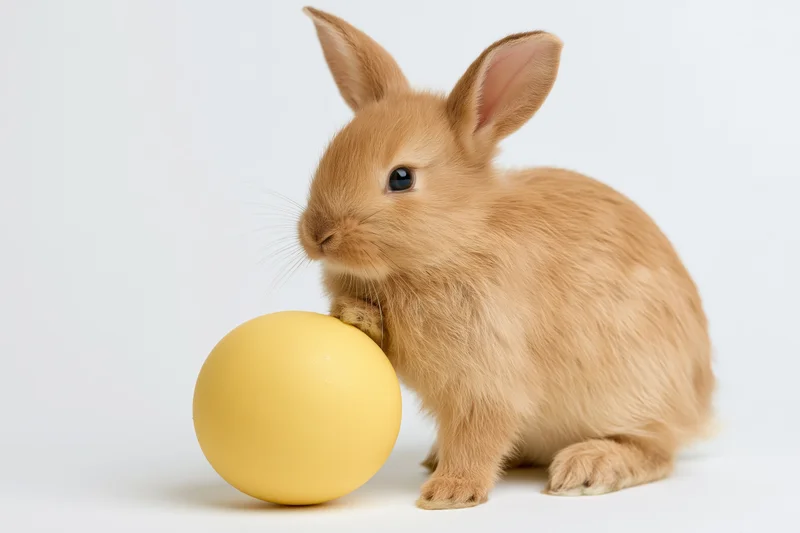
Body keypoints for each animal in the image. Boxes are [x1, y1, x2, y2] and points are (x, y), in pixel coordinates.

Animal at [296, 6, 715, 510]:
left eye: (401, 178)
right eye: (329, 154)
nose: (317, 235)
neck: (457, 242)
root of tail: (700, 402)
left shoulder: (490, 374)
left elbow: (481, 432)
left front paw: (450, 494)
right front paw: (352, 313)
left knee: (656, 449)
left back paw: (587, 468)